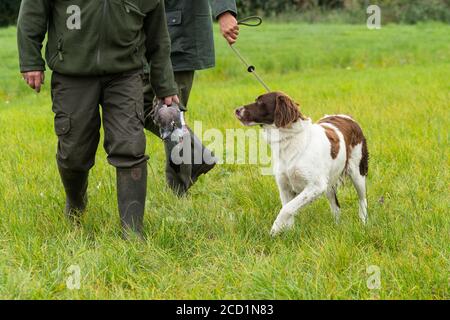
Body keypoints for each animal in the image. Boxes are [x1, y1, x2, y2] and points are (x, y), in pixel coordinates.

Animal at [236, 91, 370, 236]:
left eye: (260, 102)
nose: (237, 110)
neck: (289, 141)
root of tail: (349, 118)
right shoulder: (285, 187)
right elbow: (289, 211)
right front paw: (288, 234)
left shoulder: (316, 186)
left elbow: (287, 209)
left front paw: (274, 230)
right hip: (329, 182)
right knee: (336, 207)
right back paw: (337, 227)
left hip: (357, 172)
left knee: (362, 199)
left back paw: (363, 223)